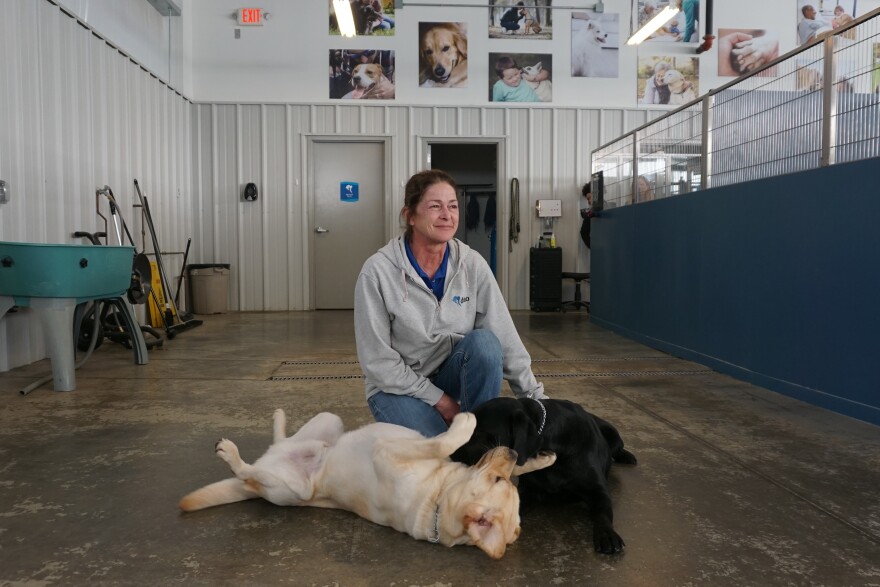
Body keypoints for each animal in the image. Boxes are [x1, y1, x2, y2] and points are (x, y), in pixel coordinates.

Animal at [179, 412, 556, 560]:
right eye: (499, 479)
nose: (510, 450)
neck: (436, 497)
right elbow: (444, 442)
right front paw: (542, 458)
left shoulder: (387, 452)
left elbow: (443, 441)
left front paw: (465, 422)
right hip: (328, 422)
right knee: (281, 441)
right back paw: (279, 419)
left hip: (290, 490)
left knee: (250, 474)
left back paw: (232, 455)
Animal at [454, 398, 632, 552]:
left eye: (478, 433)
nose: (453, 455)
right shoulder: (530, 490)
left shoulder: (598, 490)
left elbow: (602, 512)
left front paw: (607, 534)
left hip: (614, 436)